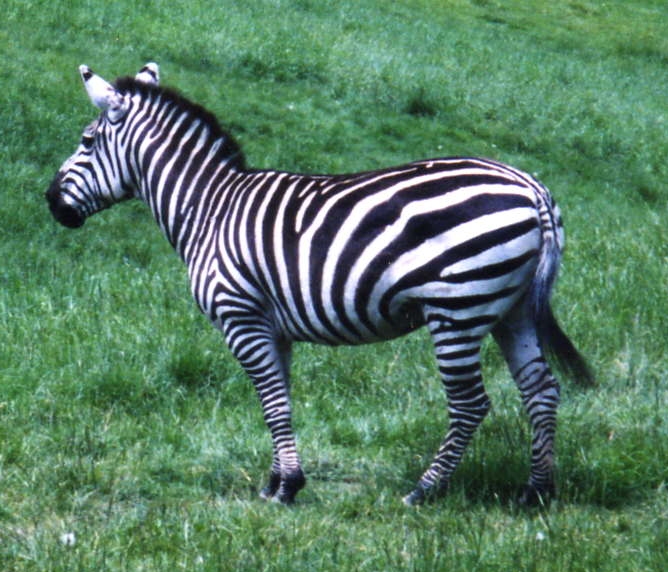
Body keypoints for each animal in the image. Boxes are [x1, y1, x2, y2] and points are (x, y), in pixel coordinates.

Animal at [46, 63, 592, 506]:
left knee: (470, 404)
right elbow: (279, 400)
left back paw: (424, 490)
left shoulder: (240, 316)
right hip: (511, 309)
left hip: (457, 309)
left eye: (87, 142)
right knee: (542, 391)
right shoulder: (272, 327)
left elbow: (271, 399)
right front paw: (275, 482)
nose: (51, 202)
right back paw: (535, 492)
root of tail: (532, 188)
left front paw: (288, 487)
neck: (208, 209)